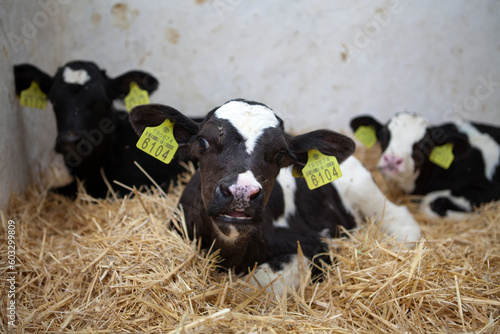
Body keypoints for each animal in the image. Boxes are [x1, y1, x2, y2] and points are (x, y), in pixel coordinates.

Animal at [130, 100, 422, 294]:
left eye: (280, 154)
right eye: (202, 141)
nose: (241, 192)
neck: (230, 252)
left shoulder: (315, 245)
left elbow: (258, 282)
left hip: (365, 189)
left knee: (401, 218)